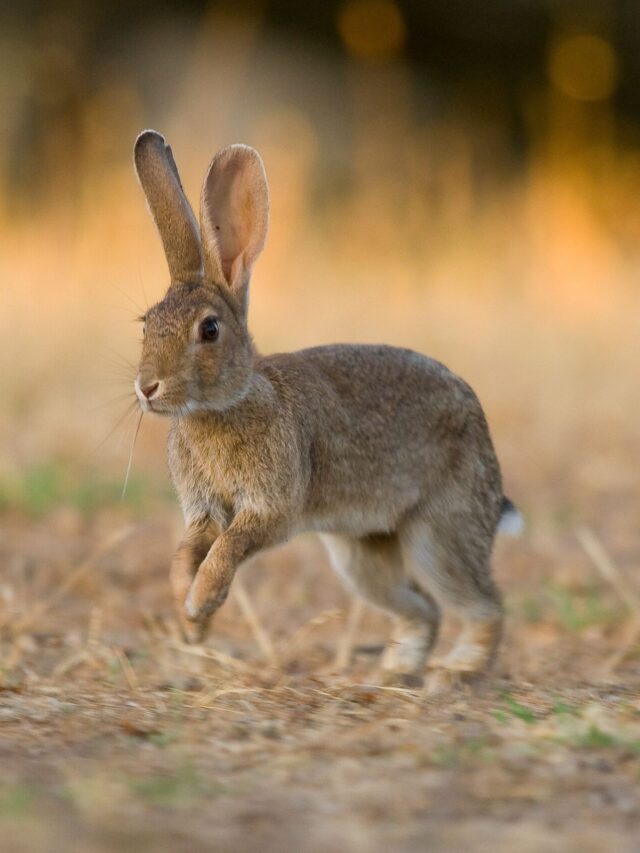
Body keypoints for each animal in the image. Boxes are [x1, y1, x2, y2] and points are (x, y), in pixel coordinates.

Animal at [132, 129, 522, 692]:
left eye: (209, 329)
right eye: (146, 323)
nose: (147, 387)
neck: (224, 406)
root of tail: (483, 433)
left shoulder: (271, 508)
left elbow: (229, 548)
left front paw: (200, 601)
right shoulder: (204, 511)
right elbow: (189, 550)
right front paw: (189, 614)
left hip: (440, 534)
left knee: (483, 603)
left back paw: (455, 673)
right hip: (361, 555)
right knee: (423, 609)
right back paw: (394, 671)